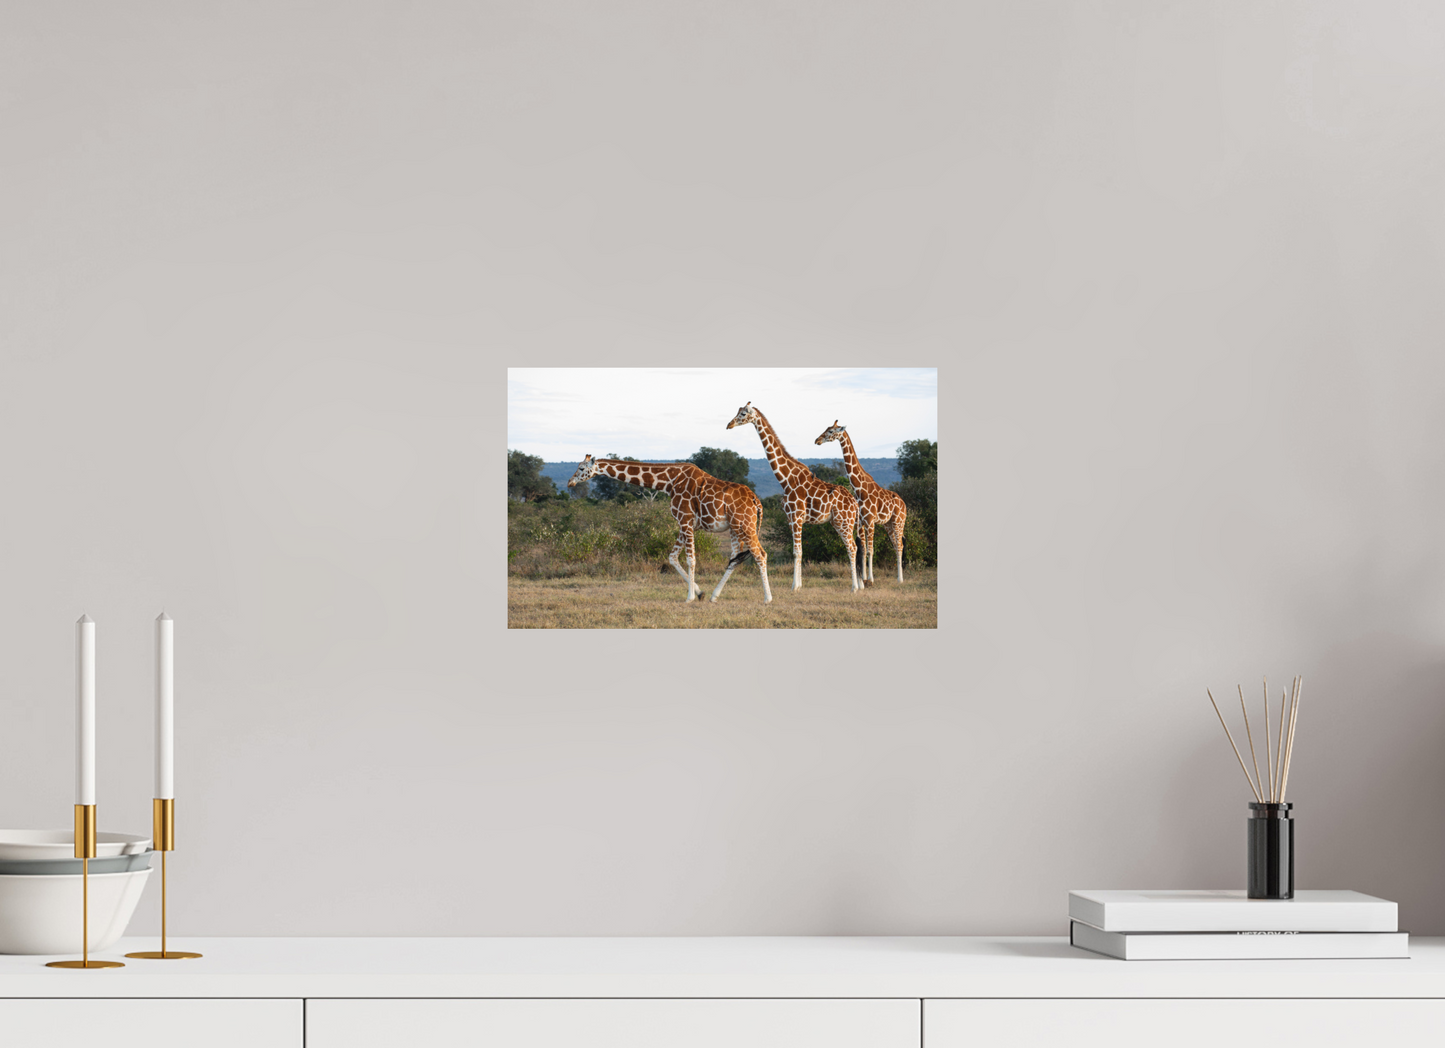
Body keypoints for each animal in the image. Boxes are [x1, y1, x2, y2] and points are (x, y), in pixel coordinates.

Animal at [568, 455, 772, 604]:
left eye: (581, 468)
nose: (570, 482)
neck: (668, 481)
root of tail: (756, 500)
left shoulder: (685, 520)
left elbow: (691, 559)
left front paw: (689, 597)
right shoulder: (684, 524)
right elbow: (672, 557)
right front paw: (700, 593)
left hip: (745, 525)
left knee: (760, 554)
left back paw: (767, 598)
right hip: (734, 527)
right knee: (735, 558)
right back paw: (714, 596)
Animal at [726, 402, 860, 593]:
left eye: (743, 413)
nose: (729, 424)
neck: (785, 478)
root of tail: (854, 503)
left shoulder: (796, 516)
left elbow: (797, 551)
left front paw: (794, 587)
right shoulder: (791, 518)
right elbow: (799, 551)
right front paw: (799, 585)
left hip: (844, 521)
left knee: (852, 547)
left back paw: (855, 587)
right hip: (838, 522)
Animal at [815, 421, 908, 584]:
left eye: (831, 431)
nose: (817, 440)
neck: (859, 488)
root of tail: (904, 504)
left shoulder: (870, 520)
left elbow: (870, 550)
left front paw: (870, 579)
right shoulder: (860, 522)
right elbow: (863, 549)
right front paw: (863, 578)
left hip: (898, 521)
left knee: (900, 545)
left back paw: (900, 579)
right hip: (888, 524)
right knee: (896, 545)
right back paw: (898, 577)